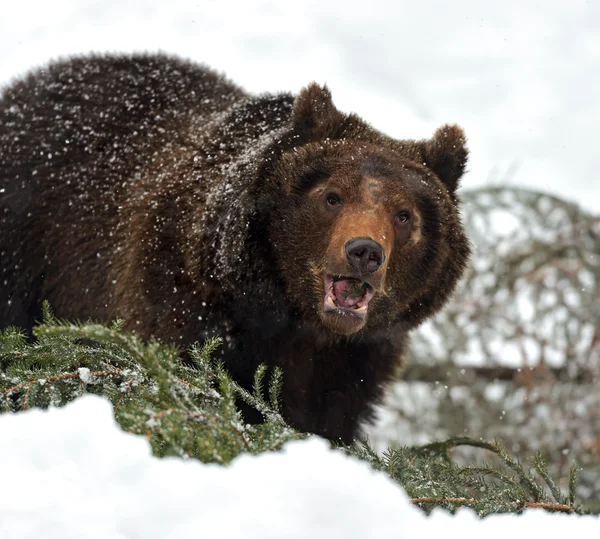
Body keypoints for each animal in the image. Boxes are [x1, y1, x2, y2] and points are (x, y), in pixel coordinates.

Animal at [0, 53, 468, 442]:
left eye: (404, 215)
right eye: (333, 196)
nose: (364, 252)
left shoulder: (356, 360)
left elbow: (330, 418)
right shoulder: (180, 301)